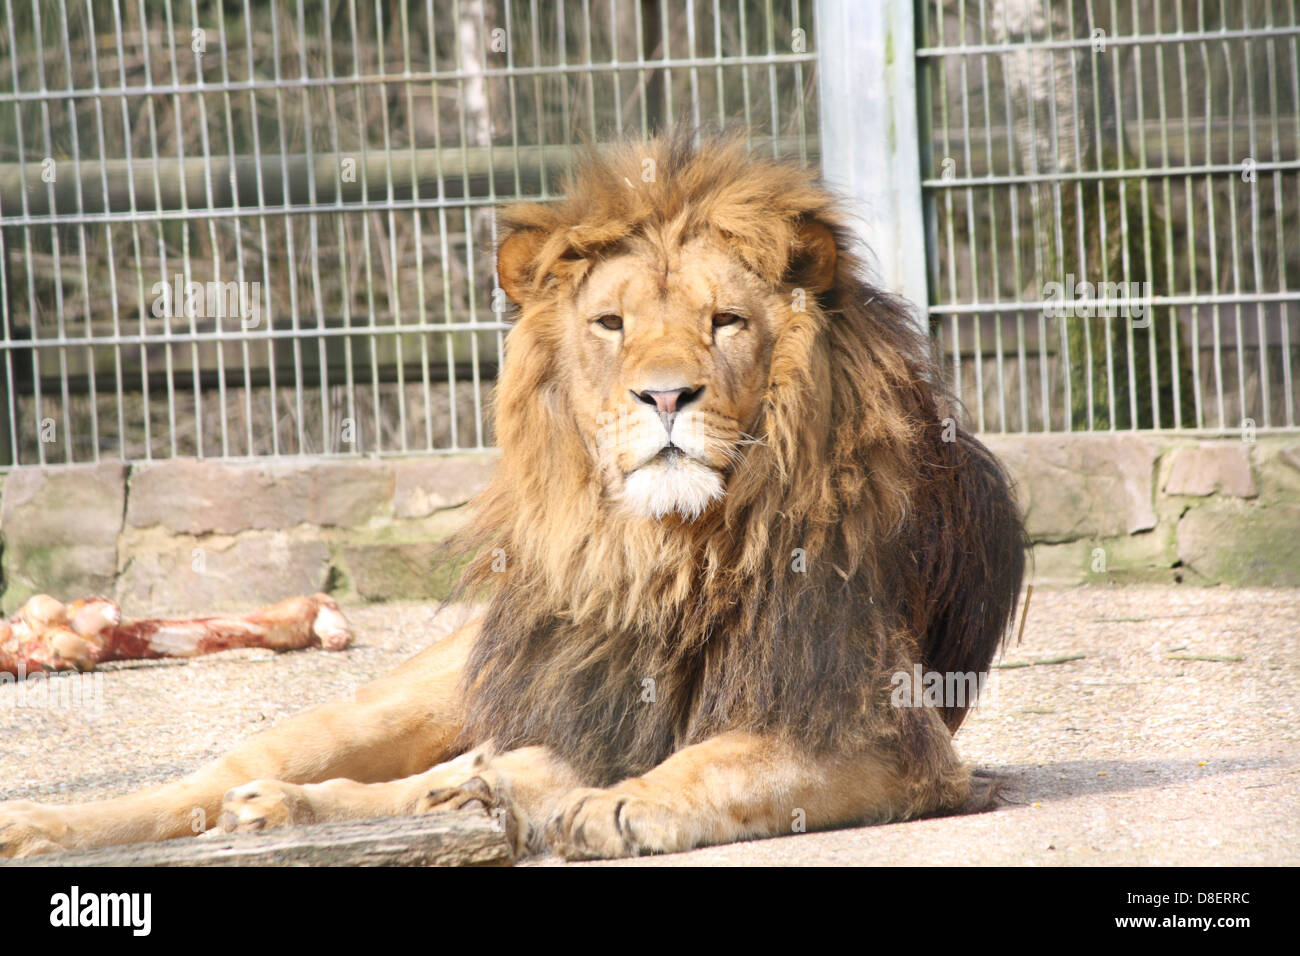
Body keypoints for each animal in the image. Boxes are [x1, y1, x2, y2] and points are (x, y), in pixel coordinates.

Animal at [0, 132, 1026, 861]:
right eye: (611, 324)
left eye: (725, 322)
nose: (666, 396)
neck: (672, 548)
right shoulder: (597, 697)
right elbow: (680, 757)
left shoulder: (882, 730)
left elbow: (726, 760)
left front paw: (622, 803)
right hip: (436, 683)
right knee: (240, 769)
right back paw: (61, 824)